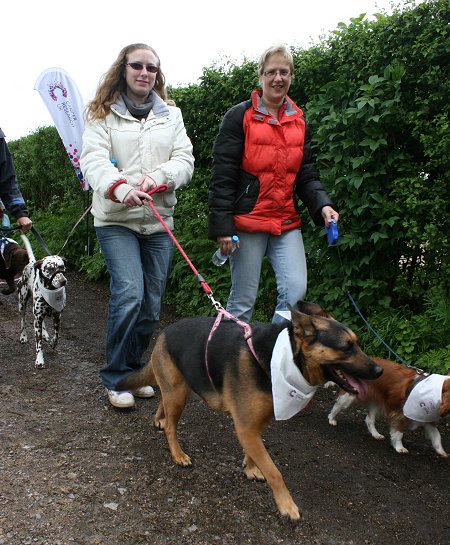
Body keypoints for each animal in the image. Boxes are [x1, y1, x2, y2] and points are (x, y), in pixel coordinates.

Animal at [17, 236, 67, 368]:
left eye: (62, 267)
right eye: (50, 269)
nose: (63, 281)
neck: (50, 290)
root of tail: (32, 262)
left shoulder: (57, 316)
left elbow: (56, 335)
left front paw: (52, 342)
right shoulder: (37, 319)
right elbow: (39, 344)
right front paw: (39, 360)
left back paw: (45, 334)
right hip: (22, 303)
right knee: (23, 320)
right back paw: (23, 336)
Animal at [118, 300, 382, 520]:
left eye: (357, 344)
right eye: (346, 348)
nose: (379, 371)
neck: (282, 359)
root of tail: (165, 332)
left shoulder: (256, 424)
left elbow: (255, 453)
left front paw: (251, 467)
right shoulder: (246, 427)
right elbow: (275, 472)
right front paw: (287, 505)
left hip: (180, 390)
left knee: (163, 401)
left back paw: (159, 419)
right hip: (179, 394)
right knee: (172, 427)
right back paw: (177, 453)